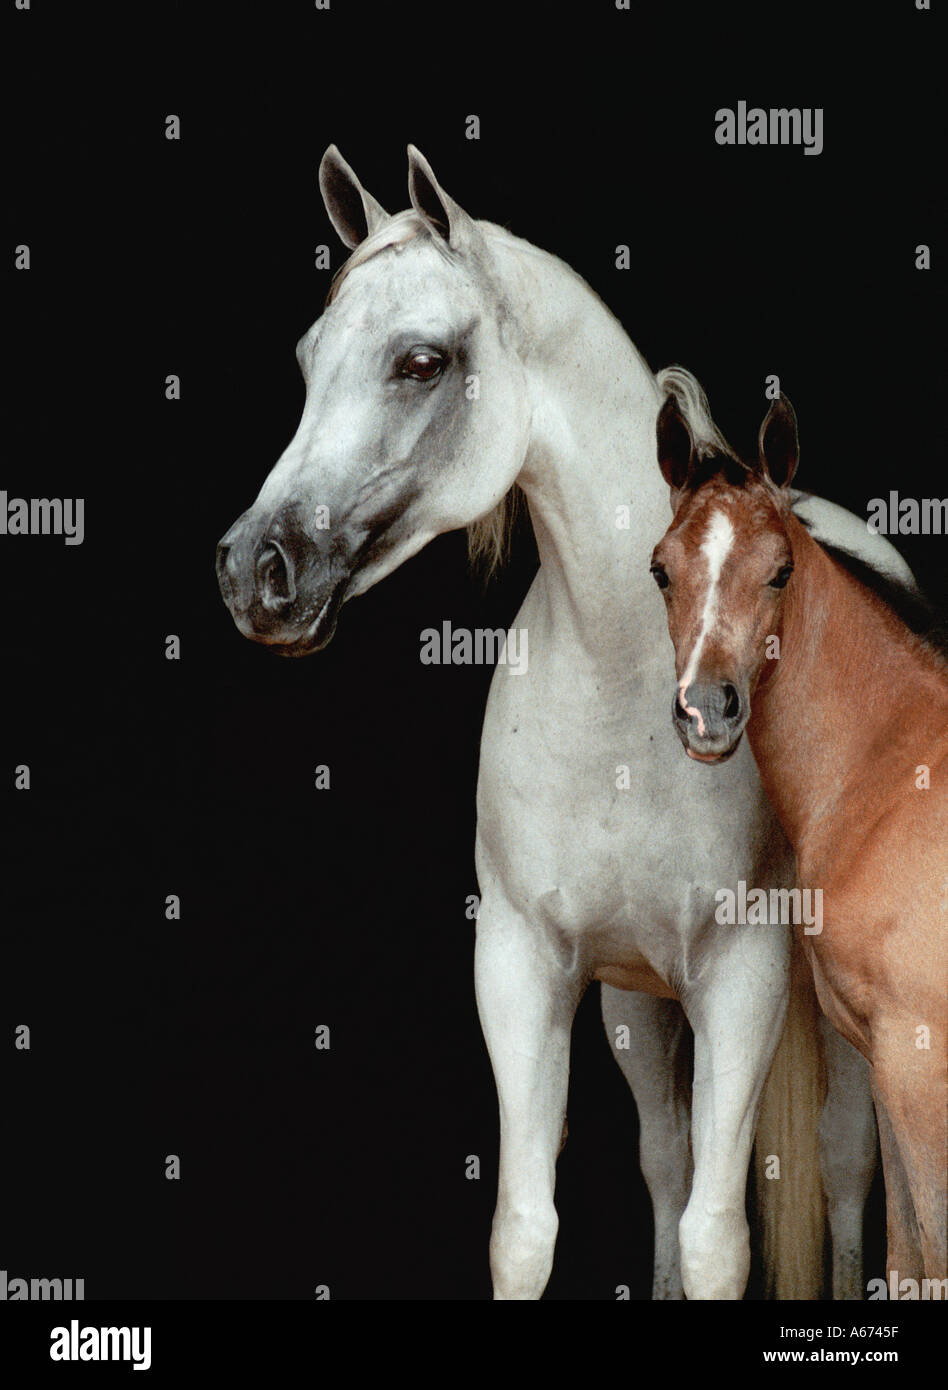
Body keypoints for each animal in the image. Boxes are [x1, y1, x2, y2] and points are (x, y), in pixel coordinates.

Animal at [212, 146, 884, 1295]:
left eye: (421, 361)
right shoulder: (525, 965)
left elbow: (718, 1237)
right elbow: (529, 1225)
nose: (257, 571)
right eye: (308, 358)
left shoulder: (743, 978)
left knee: (843, 1163)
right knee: (668, 1159)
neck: (626, 701)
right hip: (635, 1003)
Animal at [644, 389, 945, 1278]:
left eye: (779, 570)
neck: (896, 769)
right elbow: (908, 1258)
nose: (708, 710)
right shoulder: (885, 1064)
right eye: (661, 569)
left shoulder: (918, 1062)